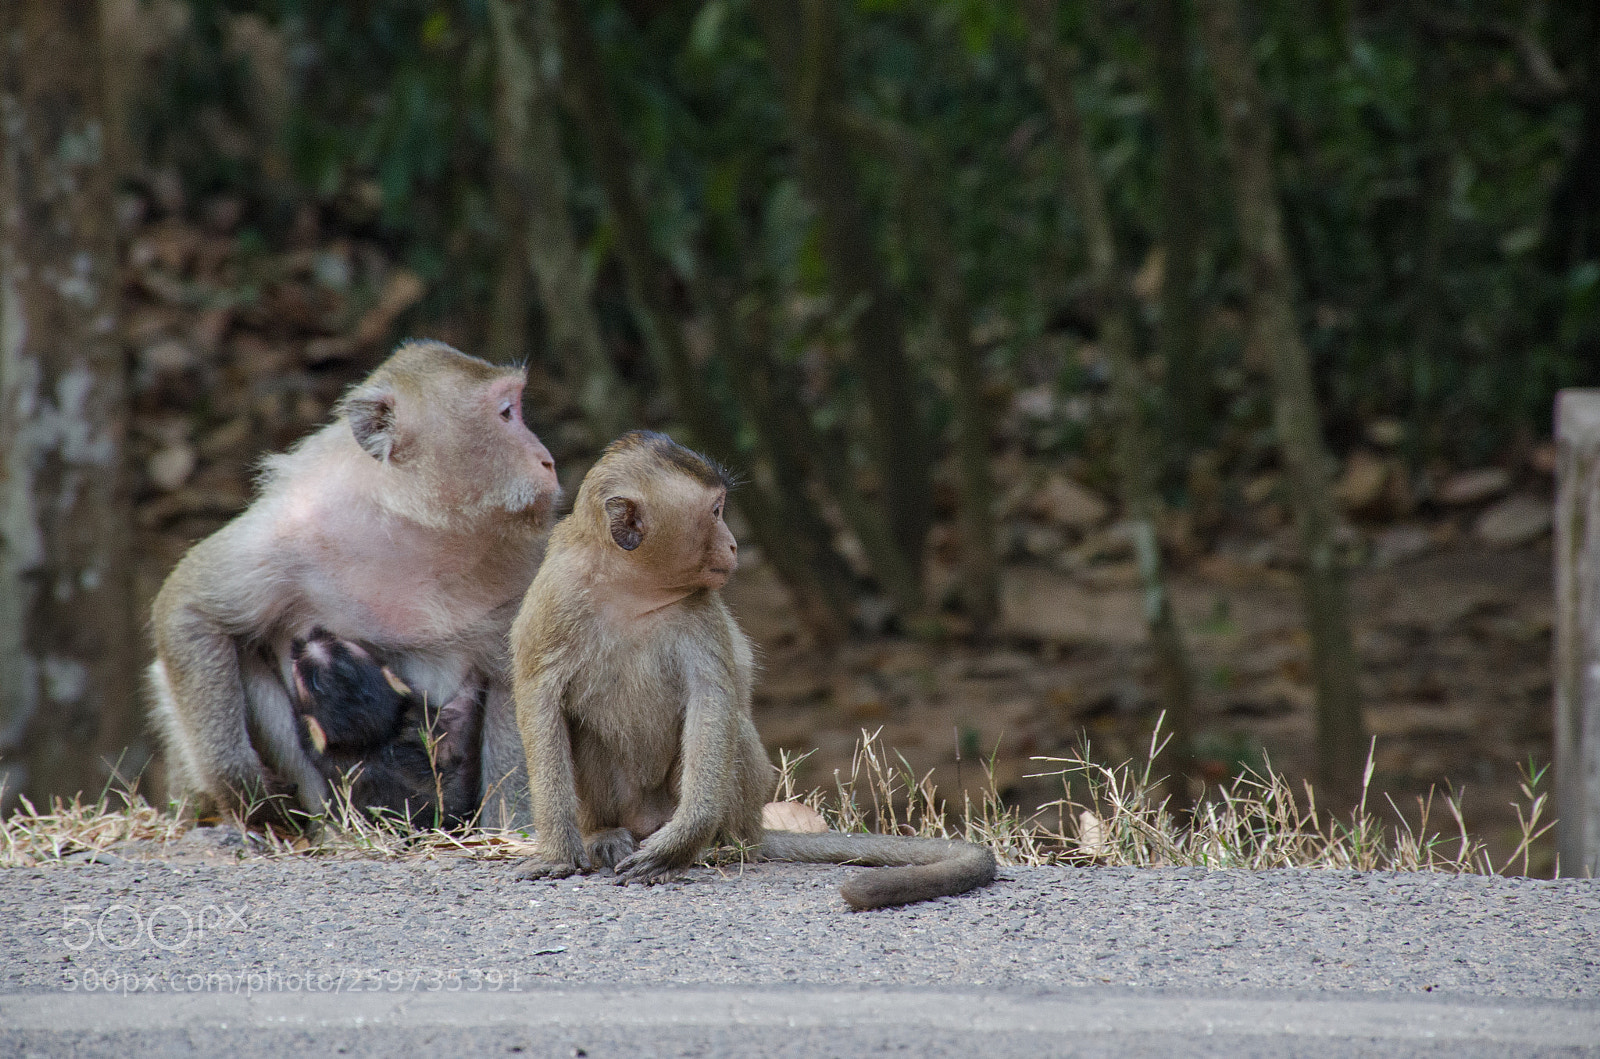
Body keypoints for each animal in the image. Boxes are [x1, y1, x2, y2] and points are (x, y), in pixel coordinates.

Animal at [510, 431, 996, 910]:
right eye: (716, 512)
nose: (733, 544)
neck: (631, 587)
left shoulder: (700, 609)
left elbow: (711, 700)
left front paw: (680, 845)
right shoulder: (555, 596)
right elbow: (540, 699)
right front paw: (559, 853)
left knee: (733, 731)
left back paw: (717, 845)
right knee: (582, 729)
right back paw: (606, 834)